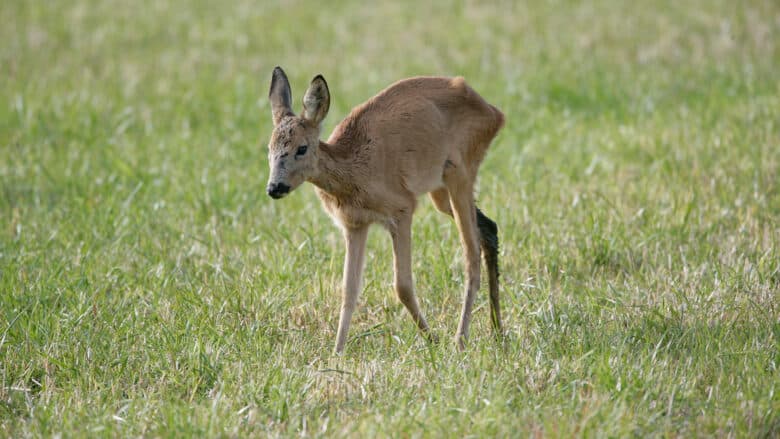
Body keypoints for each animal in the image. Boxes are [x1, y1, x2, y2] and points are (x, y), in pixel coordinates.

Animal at [266, 66, 502, 354]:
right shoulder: (354, 224)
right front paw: (337, 353)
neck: (354, 171)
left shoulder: (402, 207)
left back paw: (460, 339)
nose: (274, 187)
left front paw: (432, 340)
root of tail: (494, 113)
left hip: (461, 170)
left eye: (301, 148)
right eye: (269, 149)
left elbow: (402, 286)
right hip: (439, 189)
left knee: (471, 254)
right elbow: (349, 290)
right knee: (489, 227)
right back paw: (498, 332)